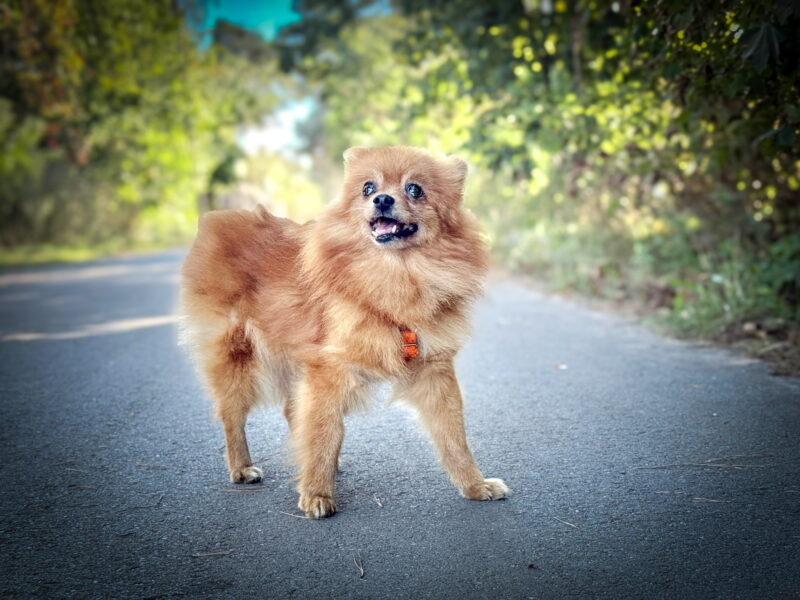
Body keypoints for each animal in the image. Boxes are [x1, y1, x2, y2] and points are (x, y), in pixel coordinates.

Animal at [180, 145, 508, 518]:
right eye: (368, 187)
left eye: (415, 189)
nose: (382, 199)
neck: (397, 275)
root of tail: (214, 219)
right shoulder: (330, 370)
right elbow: (326, 431)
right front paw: (317, 494)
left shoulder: (433, 371)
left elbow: (454, 438)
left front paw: (475, 485)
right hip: (237, 357)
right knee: (232, 416)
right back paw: (242, 467)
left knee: (293, 413)